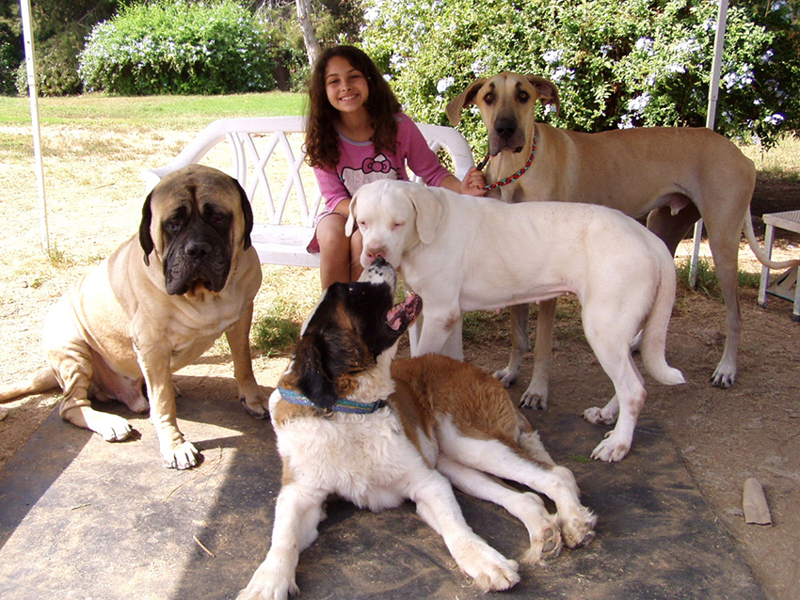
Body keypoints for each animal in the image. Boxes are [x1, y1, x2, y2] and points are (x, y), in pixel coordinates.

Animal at [0, 164, 268, 468]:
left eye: (218, 217)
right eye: (173, 223)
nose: (197, 249)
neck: (203, 297)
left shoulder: (241, 317)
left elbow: (244, 363)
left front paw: (253, 398)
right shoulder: (151, 345)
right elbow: (163, 403)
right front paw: (174, 444)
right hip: (72, 349)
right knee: (71, 405)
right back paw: (109, 422)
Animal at [238, 258, 592, 600]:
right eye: (350, 291)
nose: (380, 258)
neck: (349, 410)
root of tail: (476, 370)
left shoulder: (427, 481)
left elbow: (456, 529)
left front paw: (486, 562)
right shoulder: (299, 494)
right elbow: (283, 537)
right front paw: (266, 582)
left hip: (469, 441)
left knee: (557, 475)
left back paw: (575, 522)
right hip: (454, 462)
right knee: (527, 497)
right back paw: (544, 532)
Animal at [346, 178, 684, 460]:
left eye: (398, 224)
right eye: (362, 223)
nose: (375, 253)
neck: (426, 231)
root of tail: (650, 238)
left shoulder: (442, 312)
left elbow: (421, 357)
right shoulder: (426, 310)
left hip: (603, 327)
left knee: (634, 390)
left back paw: (618, 444)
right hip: (616, 331)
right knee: (634, 381)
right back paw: (607, 415)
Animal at [446, 72, 796, 396]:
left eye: (523, 95)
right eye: (489, 97)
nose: (504, 130)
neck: (516, 170)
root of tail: (738, 152)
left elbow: (543, 343)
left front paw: (537, 391)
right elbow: (518, 334)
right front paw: (511, 371)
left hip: (723, 243)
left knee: (735, 315)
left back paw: (727, 368)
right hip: (663, 229)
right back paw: (641, 344)